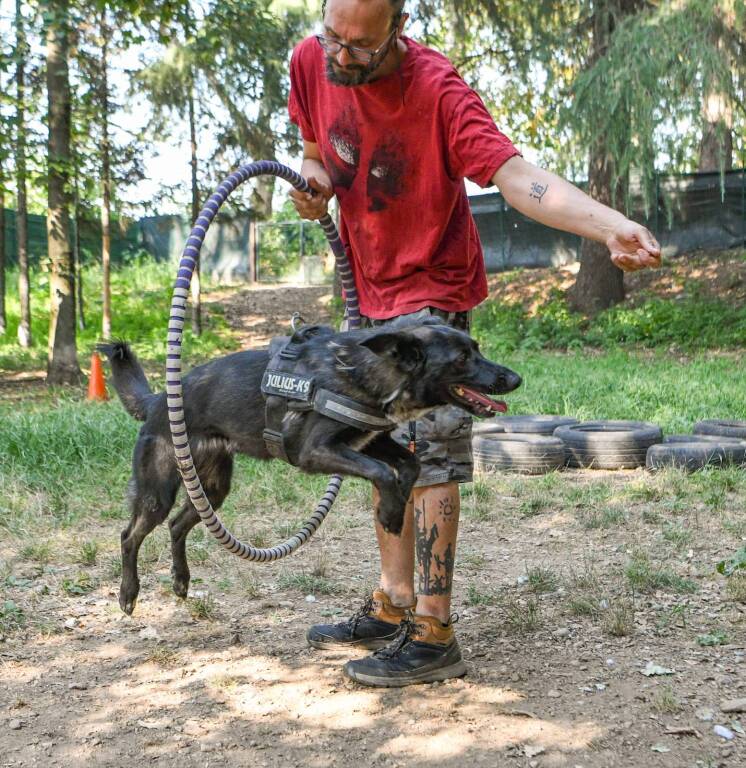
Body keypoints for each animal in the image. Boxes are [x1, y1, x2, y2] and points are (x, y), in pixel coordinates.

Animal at [97, 320, 516, 616]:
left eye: (476, 348)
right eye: (461, 358)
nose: (516, 377)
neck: (361, 371)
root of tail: (157, 400)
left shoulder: (370, 442)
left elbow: (410, 464)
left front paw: (395, 510)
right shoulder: (313, 452)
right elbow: (382, 472)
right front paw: (390, 512)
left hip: (213, 488)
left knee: (177, 525)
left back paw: (181, 581)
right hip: (159, 488)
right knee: (130, 535)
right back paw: (128, 594)